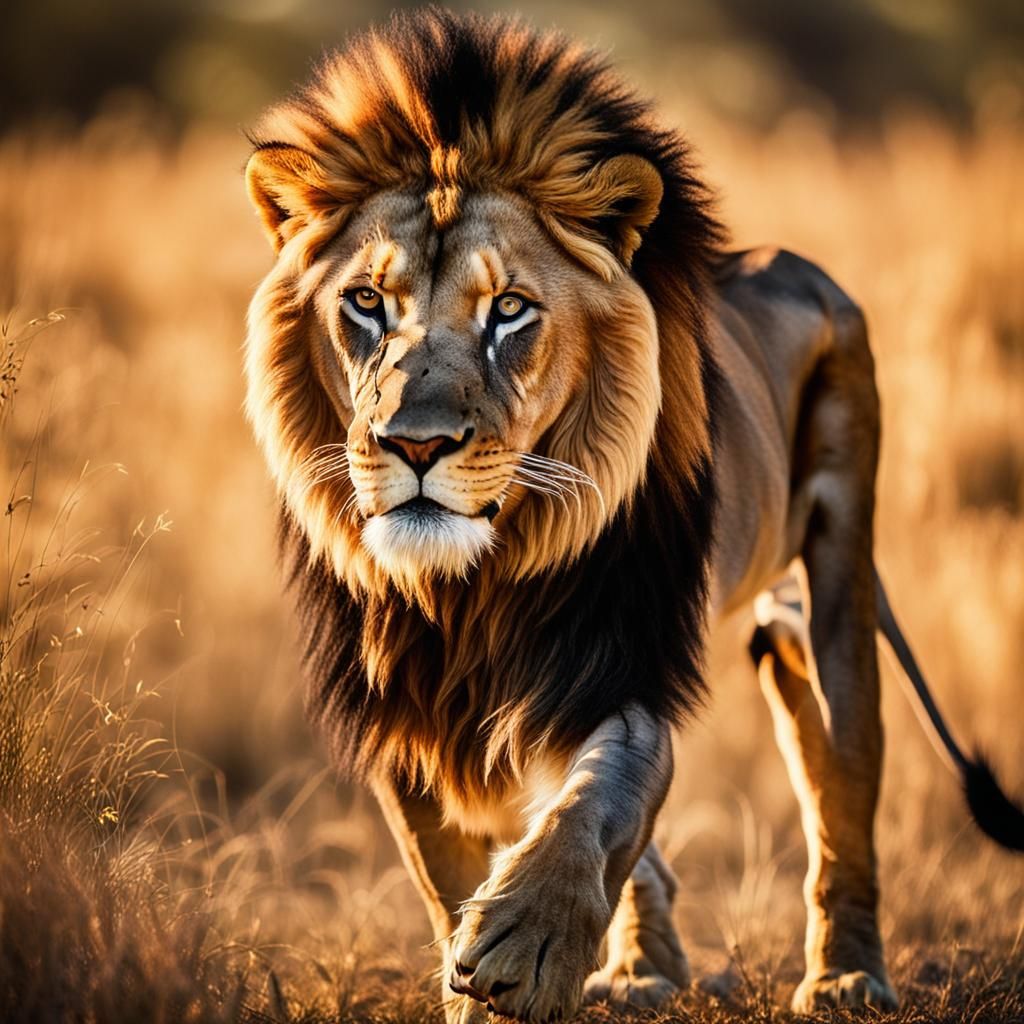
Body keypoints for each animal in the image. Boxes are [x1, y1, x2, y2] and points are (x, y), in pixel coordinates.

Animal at [243, 10, 1024, 1021]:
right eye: (367, 303)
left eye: (509, 309)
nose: (416, 444)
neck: (471, 584)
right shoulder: (403, 712)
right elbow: (446, 873)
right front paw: (478, 973)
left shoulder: (618, 663)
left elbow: (598, 801)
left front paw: (525, 943)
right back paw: (646, 968)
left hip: (841, 566)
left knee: (843, 765)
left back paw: (848, 974)